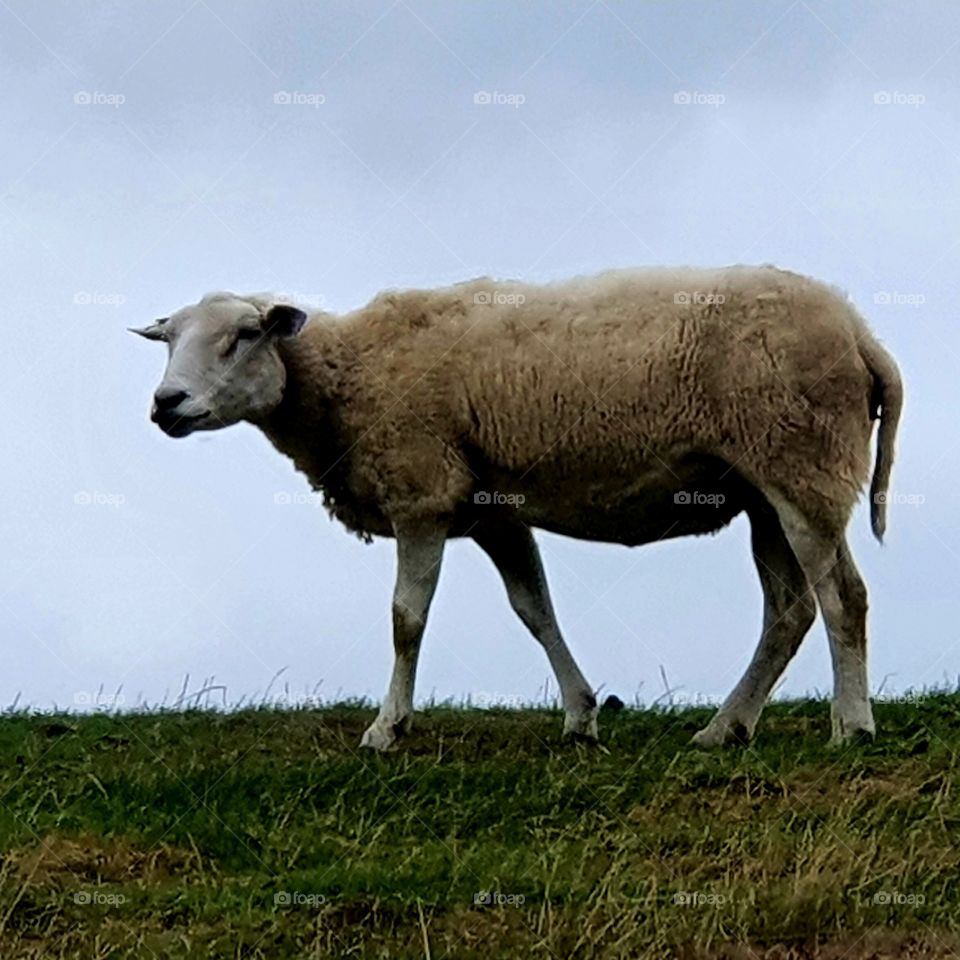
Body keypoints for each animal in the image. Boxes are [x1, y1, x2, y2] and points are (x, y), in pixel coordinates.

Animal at [131, 265, 903, 751]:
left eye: (244, 335)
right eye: (168, 342)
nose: (166, 404)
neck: (348, 376)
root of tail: (863, 335)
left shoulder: (422, 491)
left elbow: (406, 620)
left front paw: (387, 729)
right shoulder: (491, 511)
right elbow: (535, 609)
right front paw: (582, 716)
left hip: (805, 468)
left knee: (843, 598)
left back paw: (853, 726)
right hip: (763, 489)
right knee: (789, 610)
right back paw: (725, 729)